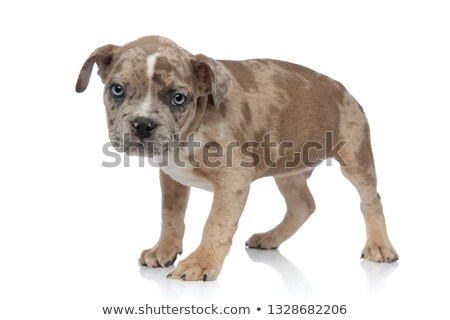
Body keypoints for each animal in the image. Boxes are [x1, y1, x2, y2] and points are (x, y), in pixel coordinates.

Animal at [75, 35, 400, 280]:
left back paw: (379, 246)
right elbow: (170, 215)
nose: (143, 124)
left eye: (178, 98)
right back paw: (271, 238)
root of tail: (342, 88)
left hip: (355, 158)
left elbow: (215, 224)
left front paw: (201, 262)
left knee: (370, 200)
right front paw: (164, 249)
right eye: (117, 89)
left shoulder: (232, 182)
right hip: (288, 169)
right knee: (303, 205)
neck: (192, 130)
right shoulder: (171, 179)